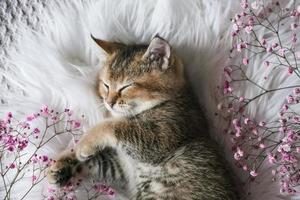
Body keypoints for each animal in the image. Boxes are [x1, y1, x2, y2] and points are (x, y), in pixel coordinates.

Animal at [47, 35, 239, 199]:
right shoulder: (121, 165)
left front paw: (84, 144)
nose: (109, 102)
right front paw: (63, 165)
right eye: (106, 85)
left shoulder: (161, 136)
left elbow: (111, 125)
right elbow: (99, 161)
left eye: (126, 87)